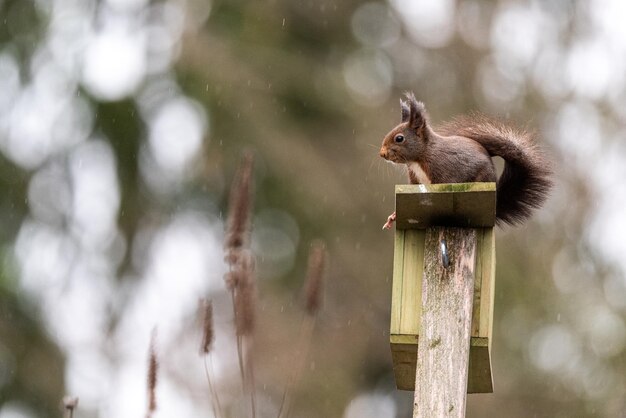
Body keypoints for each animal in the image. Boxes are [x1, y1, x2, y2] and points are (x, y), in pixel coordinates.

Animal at [378, 92, 548, 229]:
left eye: (399, 138)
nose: (382, 154)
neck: (421, 157)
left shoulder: (444, 171)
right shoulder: (415, 181)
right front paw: (393, 216)